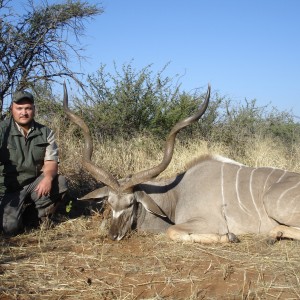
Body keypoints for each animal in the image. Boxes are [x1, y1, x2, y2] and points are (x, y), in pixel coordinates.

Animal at [63, 84, 300, 244]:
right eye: (109, 202)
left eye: (131, 203)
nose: (114, 235)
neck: (176, 195)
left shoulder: (210, 222)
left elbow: (173, 231)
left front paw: (230, 237)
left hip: (272, 202)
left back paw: (273, 233)